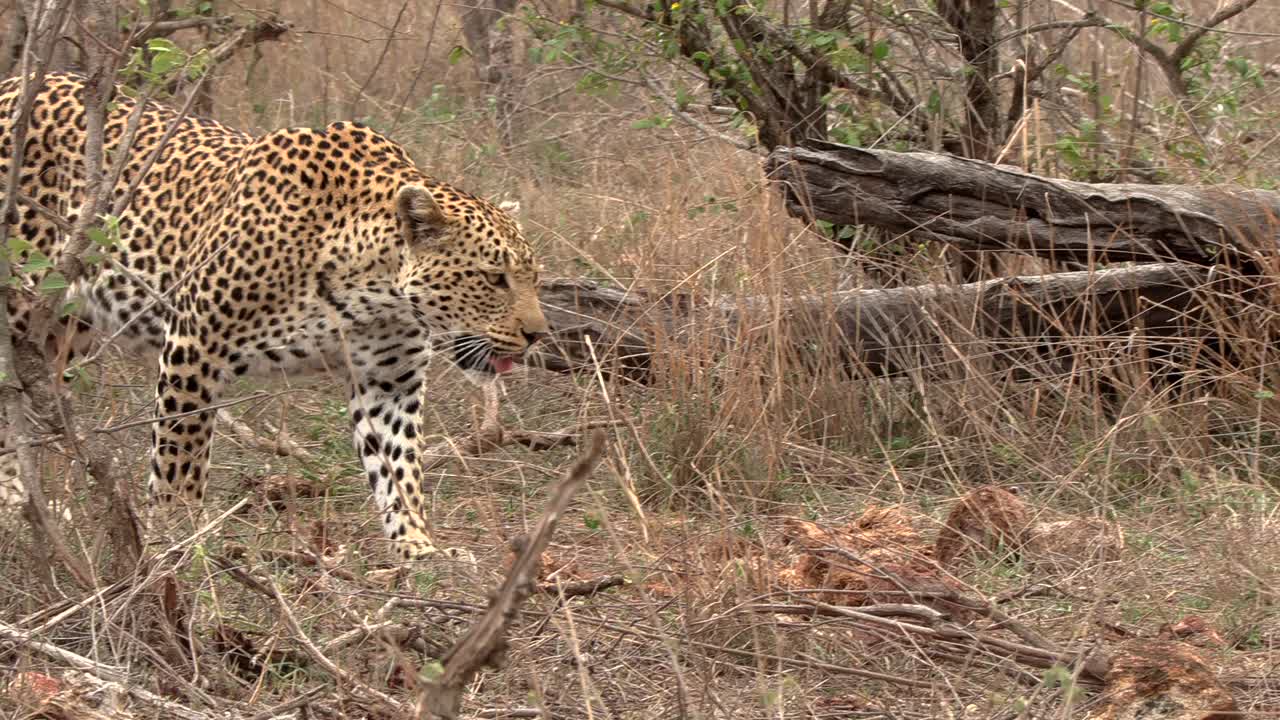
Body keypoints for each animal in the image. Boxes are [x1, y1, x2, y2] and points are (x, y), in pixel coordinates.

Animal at [0, 72, 550, 560]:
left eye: (534, 278)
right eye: (493, 278)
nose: (538, 335)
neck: (373, 289)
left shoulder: (389, 380)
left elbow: (399, 467)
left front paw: (418, 548)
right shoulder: (194, 344)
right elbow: (180, 460)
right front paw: (176, 547)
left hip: (66, 330)